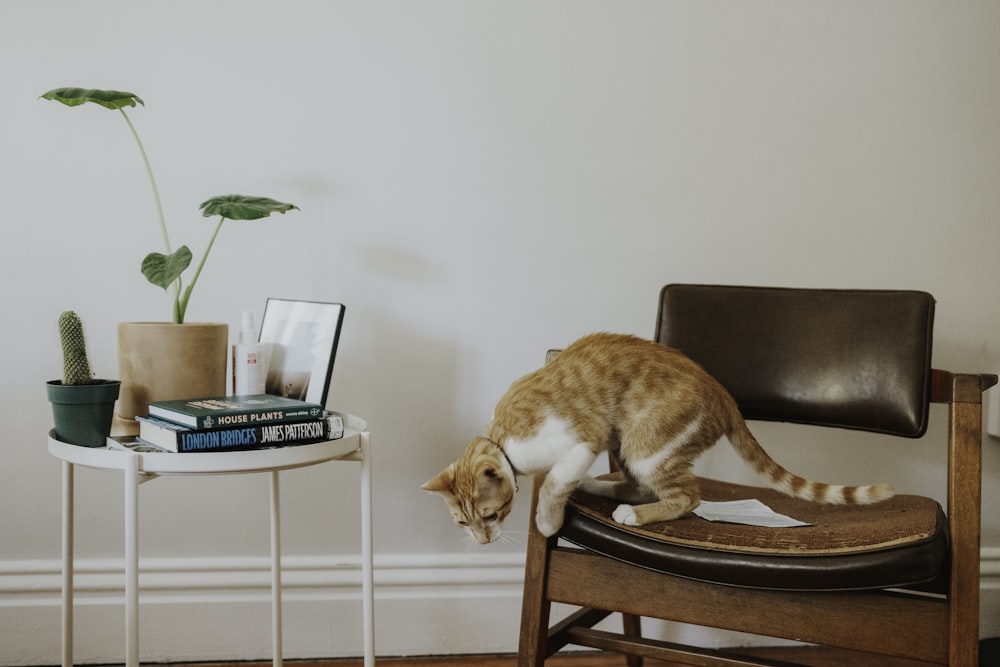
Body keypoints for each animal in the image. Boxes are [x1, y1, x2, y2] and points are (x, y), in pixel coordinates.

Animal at [426, 332, 896, 544]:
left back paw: (635, 515)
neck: (504, 440)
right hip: (624, 442)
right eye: (463, 523)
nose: (482, 542)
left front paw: (547, 521)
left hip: (644, 443)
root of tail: (723, 393)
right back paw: (600, 486)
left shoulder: (582, 441)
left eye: (489, 516)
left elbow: (555, 484)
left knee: (688, 496)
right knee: (639, 486)